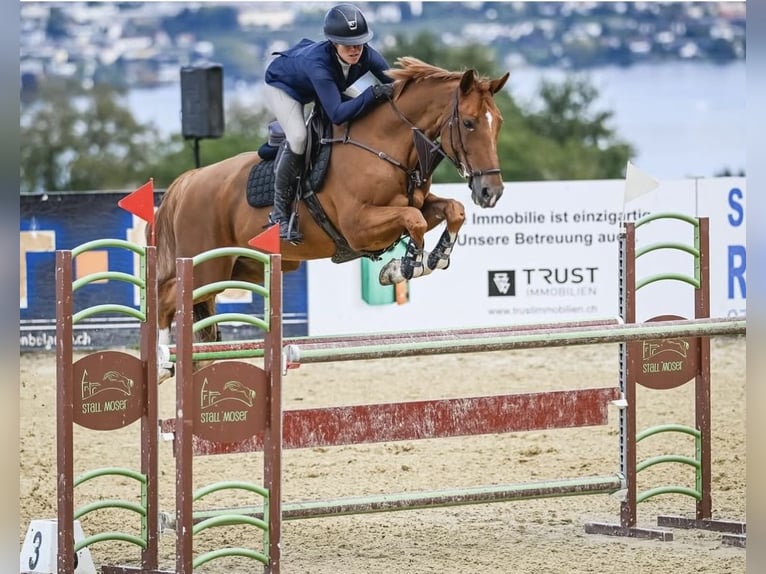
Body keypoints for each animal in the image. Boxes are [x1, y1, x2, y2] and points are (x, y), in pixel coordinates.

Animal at [150, 57, 509, 380]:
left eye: (499, 122)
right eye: (469, 123)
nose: (491, 192)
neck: (386, 146)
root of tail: (188, 181)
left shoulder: (418, 206)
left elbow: (452, 210)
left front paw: (432, 259)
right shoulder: (359, 226)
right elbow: (414, 222)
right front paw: (403, 268)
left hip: (241, 266)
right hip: (206, 267)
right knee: (166, 297)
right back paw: (161, 361)